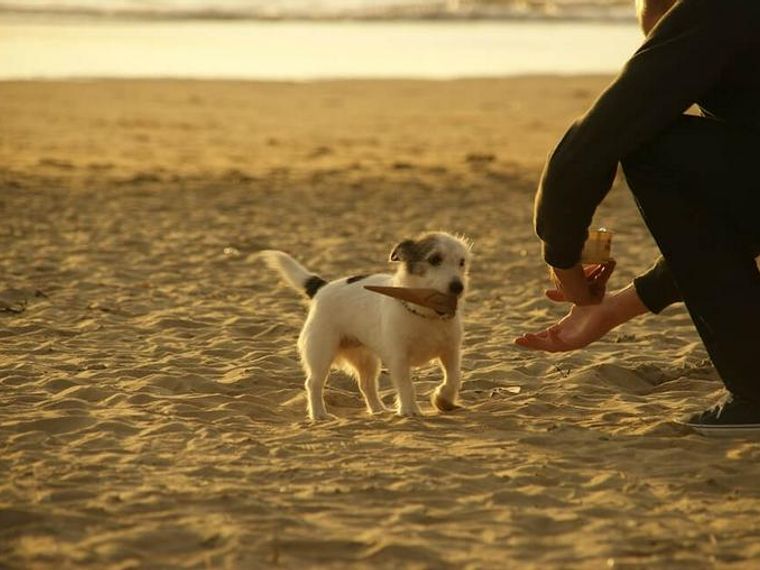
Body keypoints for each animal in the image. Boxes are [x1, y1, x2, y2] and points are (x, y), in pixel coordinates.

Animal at [262, 229, 470, 420]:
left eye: (462, 262)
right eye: (435, 259)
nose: (458, 287)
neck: (426, 313)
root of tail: (323, 287)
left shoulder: (451, 352)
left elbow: (454, 378)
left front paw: (443, 399)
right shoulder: (398, 358)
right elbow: (406, 386)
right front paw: (410, 410)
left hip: (366, 359)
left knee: (366, 385)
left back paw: (378, 409)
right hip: (321, 352)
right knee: (313, 383)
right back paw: (319, 414)